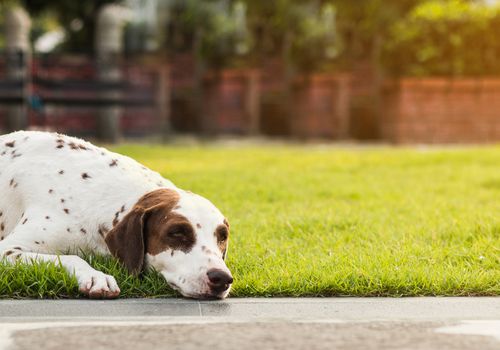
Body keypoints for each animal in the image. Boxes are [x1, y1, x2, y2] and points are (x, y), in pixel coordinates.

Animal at [0, 130, 233, 300]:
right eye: (176, 233)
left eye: (222, 237)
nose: (222, 278)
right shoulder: (8, 251)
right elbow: (72, 257)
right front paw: (96, 276)